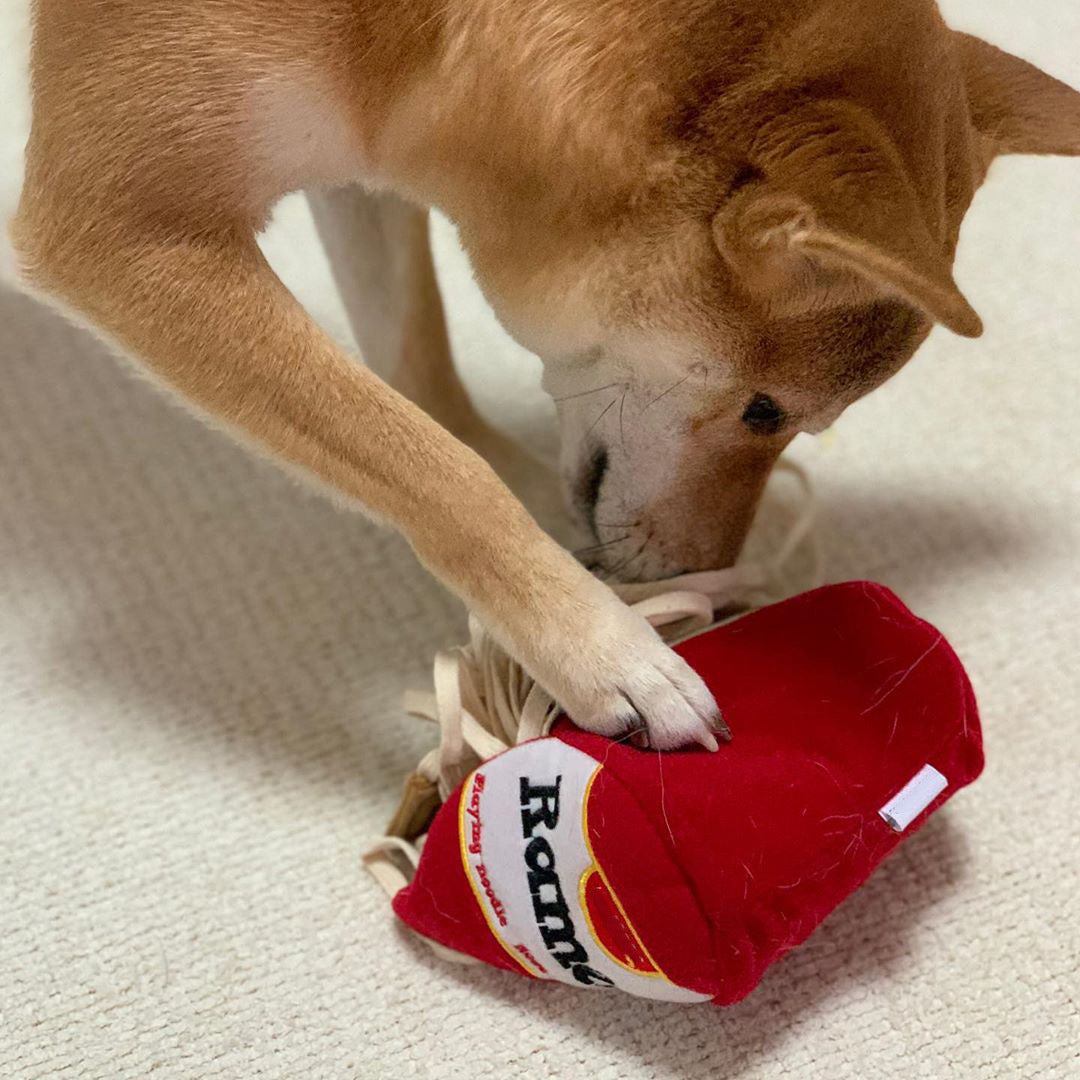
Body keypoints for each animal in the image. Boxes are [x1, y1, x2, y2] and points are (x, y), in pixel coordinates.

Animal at [6, 2, 1080, 751]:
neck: (402, 26)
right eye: (768, 411)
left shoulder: (349, 147)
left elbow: (420, 386)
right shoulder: (128, 231)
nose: (722, 589)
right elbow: (437, 470)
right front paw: (608, 649)